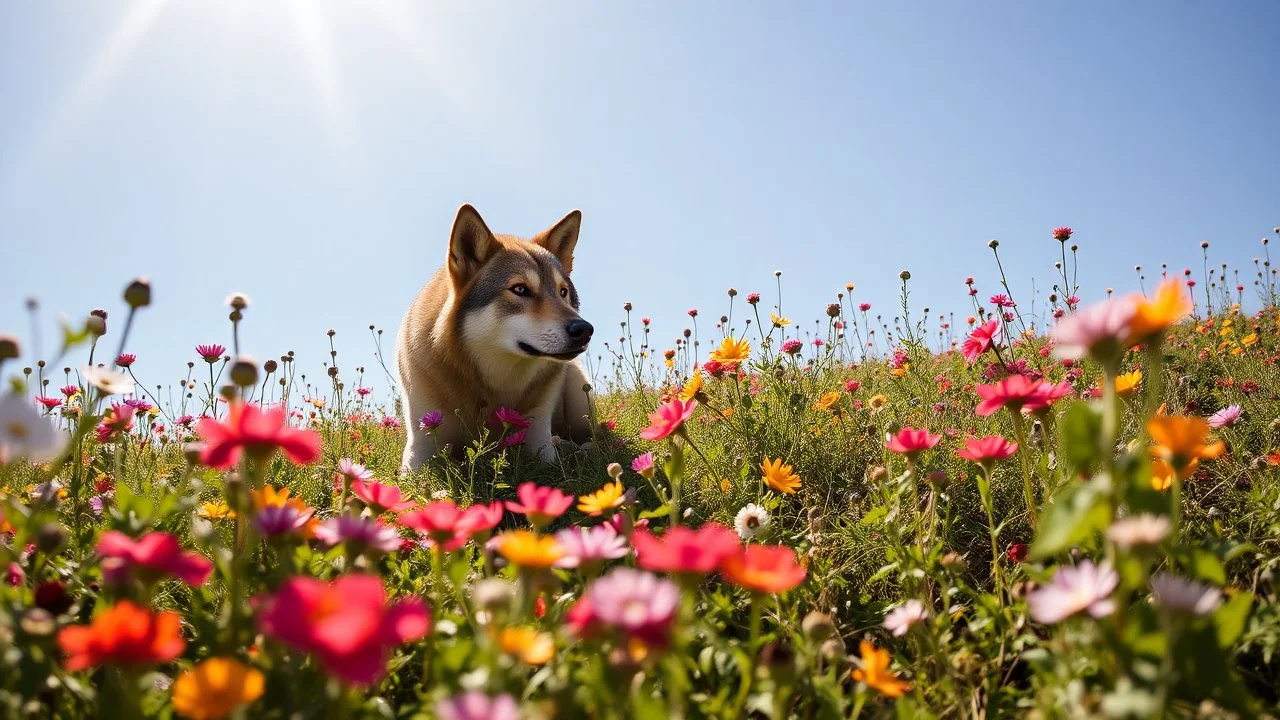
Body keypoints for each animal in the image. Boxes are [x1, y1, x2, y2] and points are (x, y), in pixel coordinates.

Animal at [394, 203, 593, 471]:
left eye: (563, 293)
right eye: (520, 289)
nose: (585, 330)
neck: (495, 384)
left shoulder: (538, 436)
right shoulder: (420, 446)